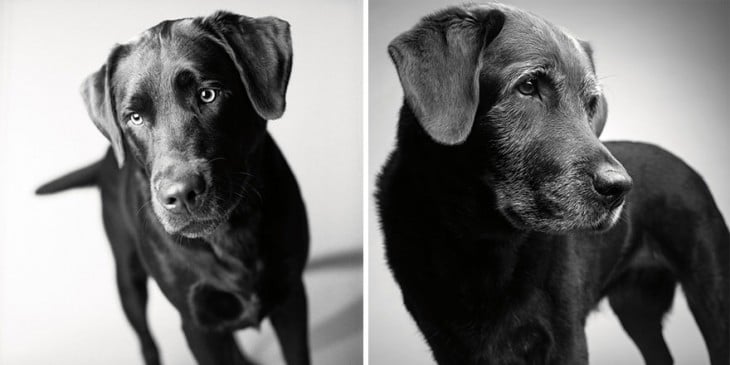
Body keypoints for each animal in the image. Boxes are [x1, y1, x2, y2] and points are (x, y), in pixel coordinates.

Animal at [37, 11, 310, 364]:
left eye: (208, 94)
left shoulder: (291, 297)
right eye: (135, 117)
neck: (230, 233)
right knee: (146, 339)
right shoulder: (196, 325)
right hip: (128, 277)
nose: (181, 195)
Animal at [376, 3, 728, 364]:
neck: (480, 241)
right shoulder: (449, 347)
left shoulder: (567, 338)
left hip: (712, 293)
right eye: (528, 86)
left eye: (590, 104)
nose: (619, 188)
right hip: (636, 309)